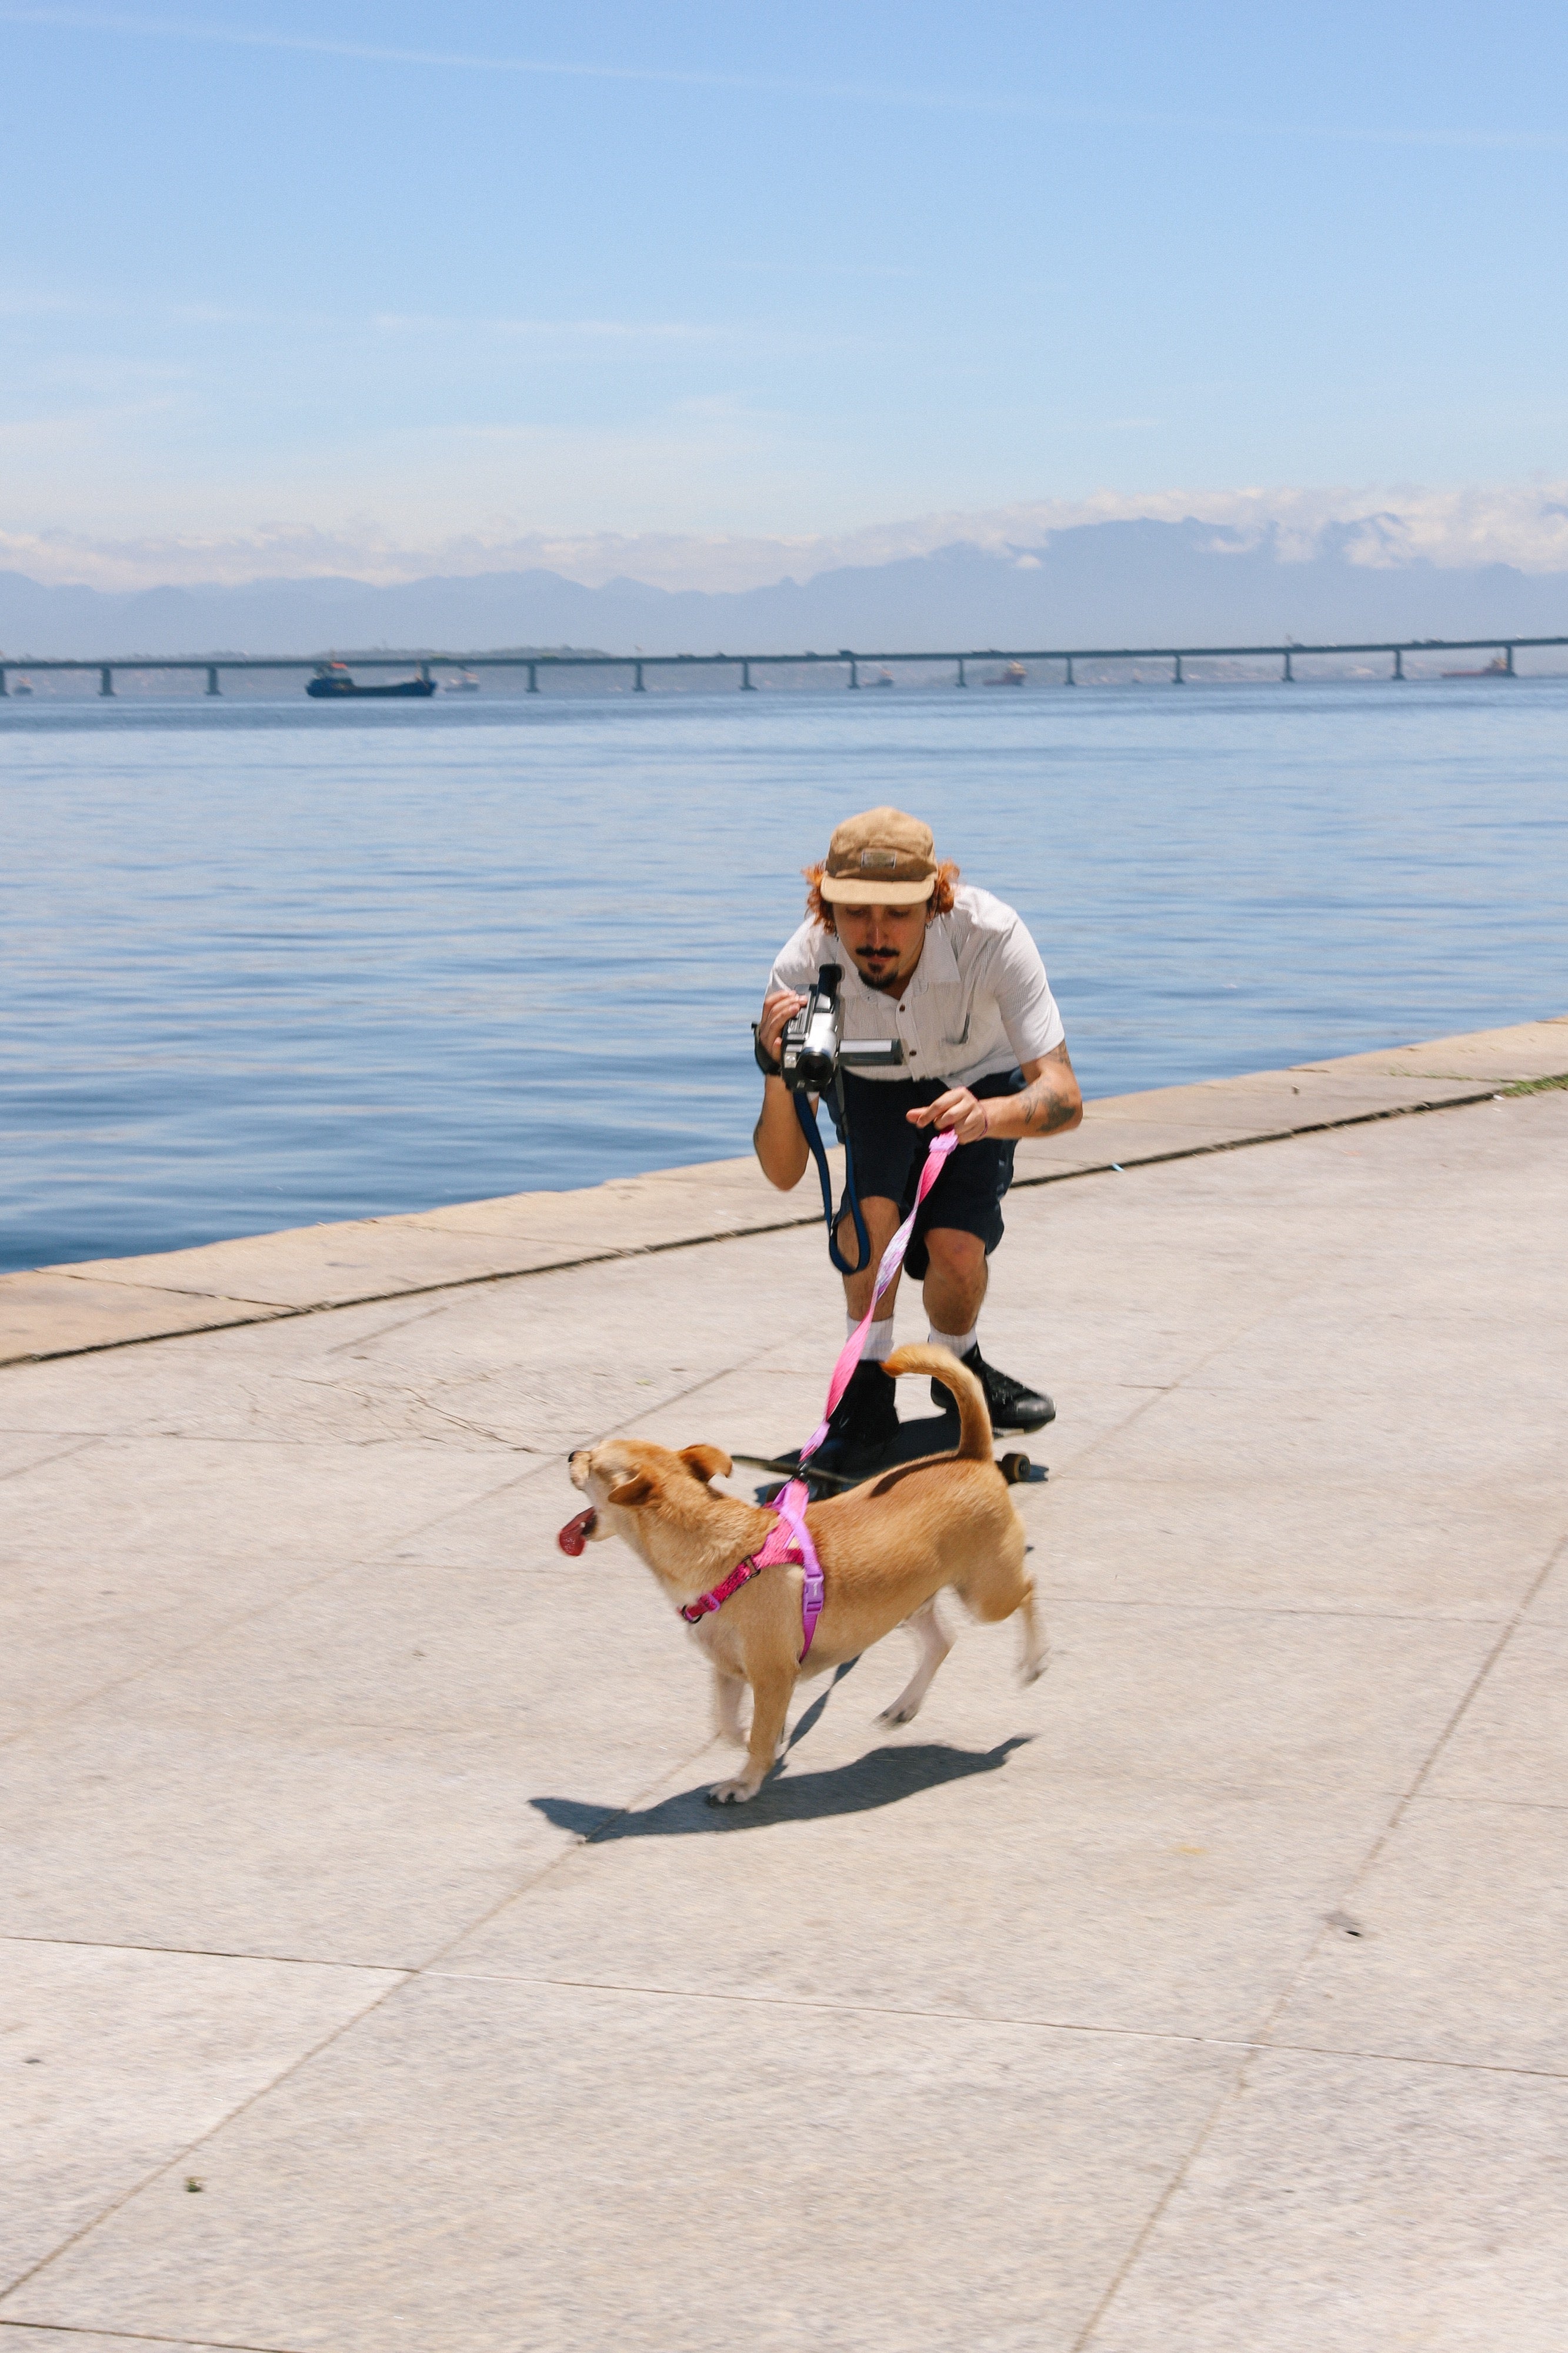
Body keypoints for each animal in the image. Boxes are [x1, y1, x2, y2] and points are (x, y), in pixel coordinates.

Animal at [555, 1346, 1045, 1798]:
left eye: (594, 1462)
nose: (572, 1454)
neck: (725, 1552)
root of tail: (972, 1455)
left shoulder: (772, 1675)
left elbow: (755, 1732)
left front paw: (746, 1780)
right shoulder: (730, 1669)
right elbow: (729, 1722)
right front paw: (757, 1742)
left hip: (985, 1595)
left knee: (1027, 1590)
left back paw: (1034, 1659)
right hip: (909, 1602)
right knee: (942, 1641)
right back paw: (904, 1705)